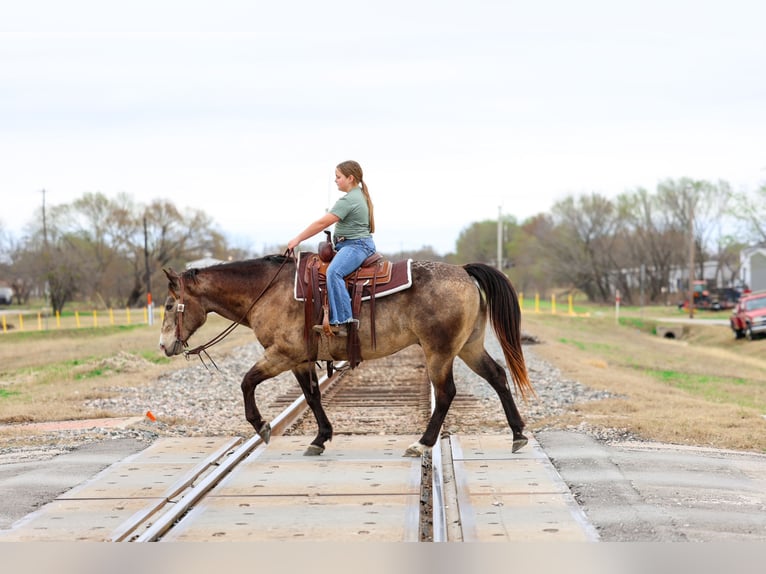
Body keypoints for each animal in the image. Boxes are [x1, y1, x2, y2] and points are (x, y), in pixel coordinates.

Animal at [158, 254, 534, 457]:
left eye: (169, 305)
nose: (163, 346)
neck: (267, 291)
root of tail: (464, 272)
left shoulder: (283, 354)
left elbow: (247, 382)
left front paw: (262, 426)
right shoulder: (301, 360)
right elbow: (311, 396)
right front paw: (320, 437)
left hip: (439, 352)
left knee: (445, 394)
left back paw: (422, 444)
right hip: (469, 346)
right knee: (498, 377)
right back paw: (518, 435)